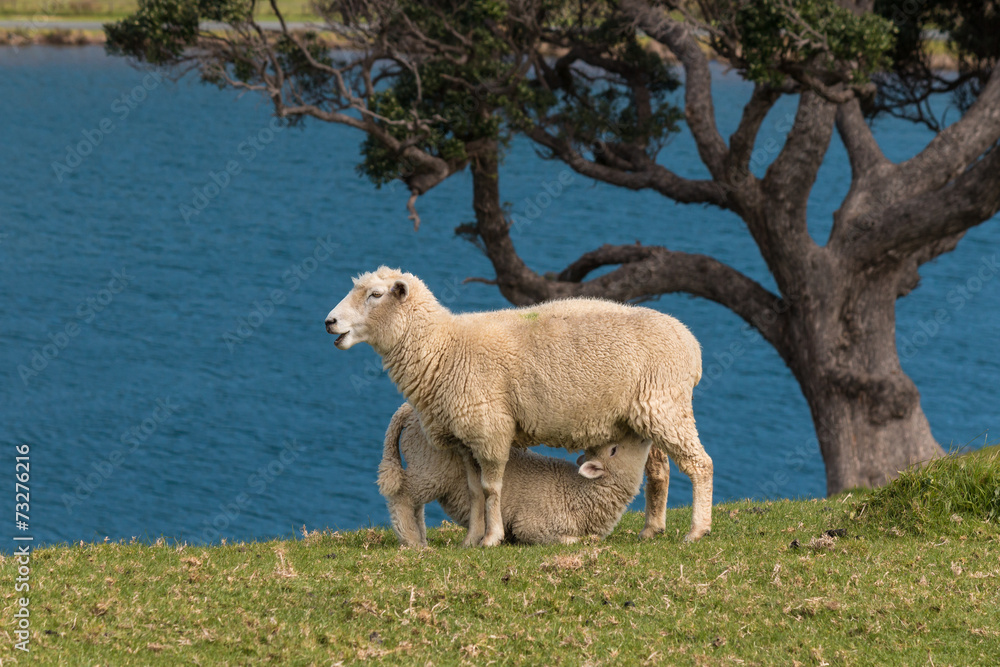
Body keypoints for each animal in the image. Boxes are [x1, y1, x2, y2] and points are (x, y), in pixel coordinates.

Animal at [378, 402, 651, 547]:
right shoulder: (532, 525)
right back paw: (412, 541)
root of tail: (407, 409)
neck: (577, 492)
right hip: (430, 465)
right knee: (402, 497)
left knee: (416, 505)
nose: (641, 432)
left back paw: (420, 538)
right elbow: (573, 540)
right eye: (614, 449)